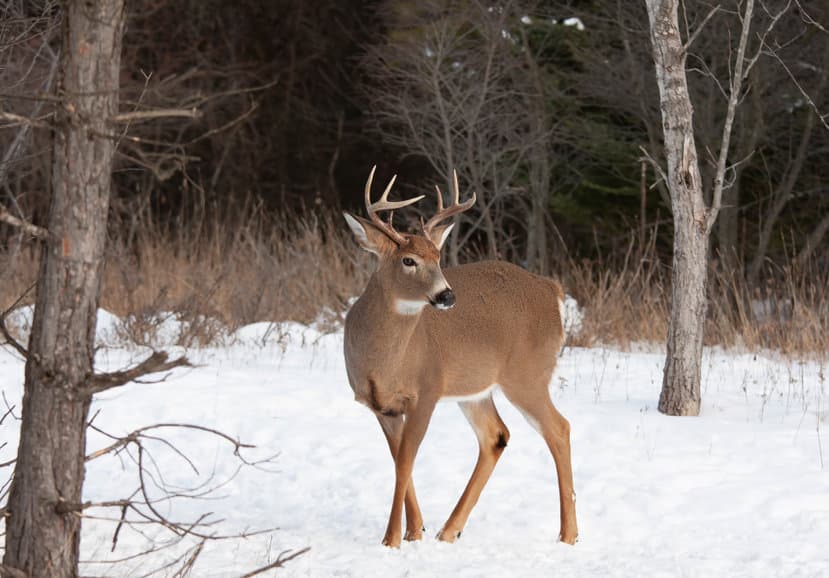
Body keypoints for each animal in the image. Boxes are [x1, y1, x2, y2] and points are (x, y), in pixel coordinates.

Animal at [343, 166, 578, 548]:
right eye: (408, 260)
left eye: (438, 258)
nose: (447, 295)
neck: (384, 363)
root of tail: (552, 290)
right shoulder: (380, 406)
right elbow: (398, 460)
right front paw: (415, 530)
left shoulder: (427, 390)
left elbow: (406, 461)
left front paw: (391, 539)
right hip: (476, 389)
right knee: (496, 435)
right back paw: (449, 530)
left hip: (527, 374)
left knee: (559, 428)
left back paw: (569, 535)